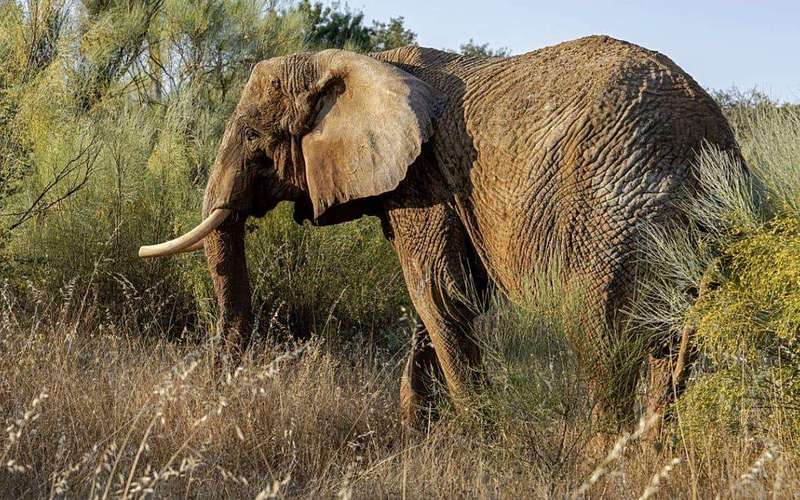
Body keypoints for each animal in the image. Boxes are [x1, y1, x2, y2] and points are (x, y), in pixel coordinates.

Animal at [139, 35, 742, 428]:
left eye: (256, 138)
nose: (208, 397)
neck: (361, 63)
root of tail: (710, 137)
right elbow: (440, 300)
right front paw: (417, 436)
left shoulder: (425, 181)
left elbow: (438, 293)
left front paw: (481, 440)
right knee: (668, 345)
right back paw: (651, 452)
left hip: (613, 216)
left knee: (601, 338)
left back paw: (601, 459)